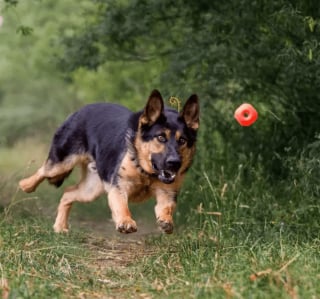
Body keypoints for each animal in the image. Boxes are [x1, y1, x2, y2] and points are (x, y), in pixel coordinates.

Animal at [18, 90, 199, 236]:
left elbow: (166, 209)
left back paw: (60, 226)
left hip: (91, 190)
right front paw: (126, 222)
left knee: (67, 193)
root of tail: (80, 110)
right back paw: (26, 185)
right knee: (43, 170)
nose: (174, 163)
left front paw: (166, 221)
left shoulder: (166, 194)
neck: (146, 174)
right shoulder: (118, 189)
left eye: (182, 140)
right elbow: (122, 207)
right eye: (161, 137)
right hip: (62, 163)